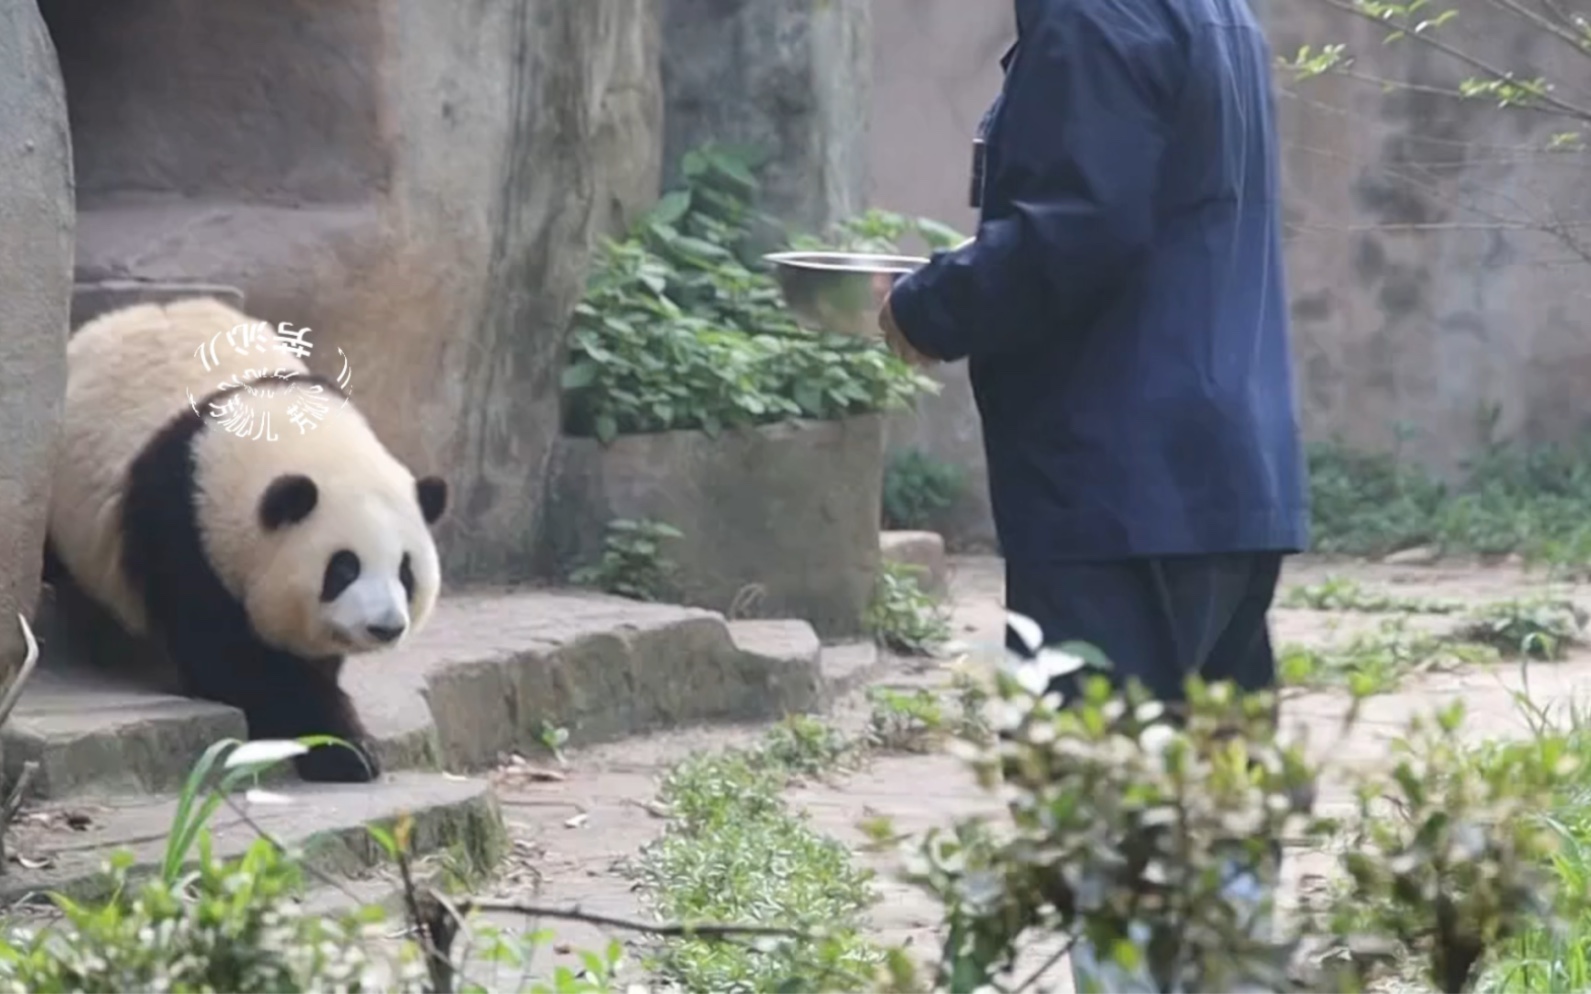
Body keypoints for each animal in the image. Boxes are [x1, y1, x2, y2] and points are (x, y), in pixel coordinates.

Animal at [48, 294, 448, 782]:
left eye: (406, 571)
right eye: (344, 568)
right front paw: (345, 749)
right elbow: (233, 660)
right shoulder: (178, 523)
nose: (385, 626)